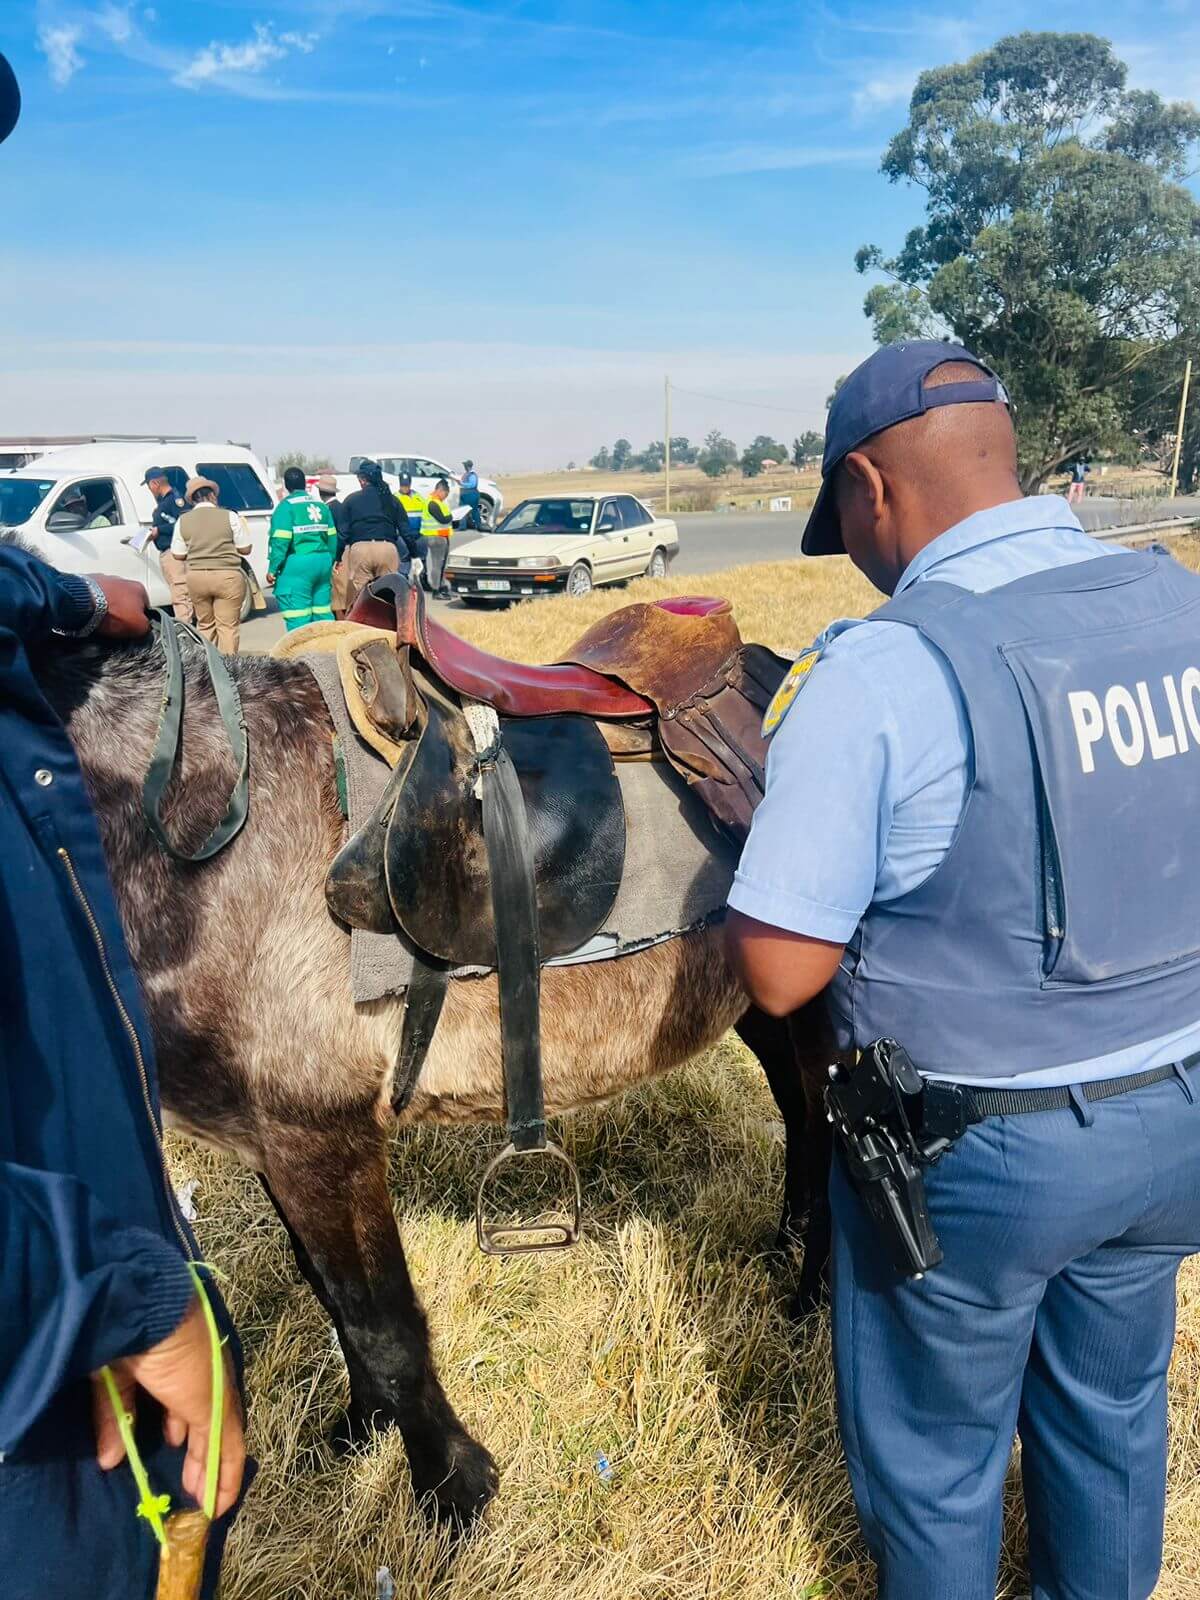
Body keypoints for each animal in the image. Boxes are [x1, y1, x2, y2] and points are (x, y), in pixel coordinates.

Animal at [30, 617, 838, 1529]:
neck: (205, 851)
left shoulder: (322, 1138)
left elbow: (382, 1323)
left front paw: (452, 1488)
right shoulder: (275, 1146)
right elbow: (333, 1298)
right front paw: (363, 1430)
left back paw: (808, 1301)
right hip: (762, 1001)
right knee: (802, 1117)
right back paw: (785, 1254)